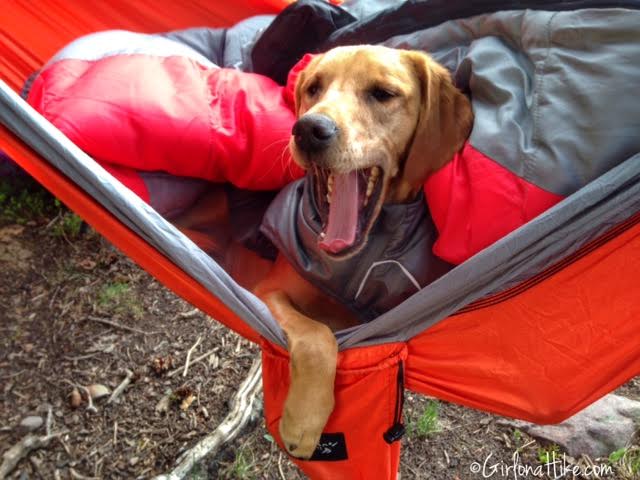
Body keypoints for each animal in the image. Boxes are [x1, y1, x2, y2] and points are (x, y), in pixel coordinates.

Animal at [252, 45, 472, 458]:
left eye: (383, 93)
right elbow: (317, 333)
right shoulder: (265, 289)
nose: (308, 129)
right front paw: (305, 418)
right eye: (314, 88)